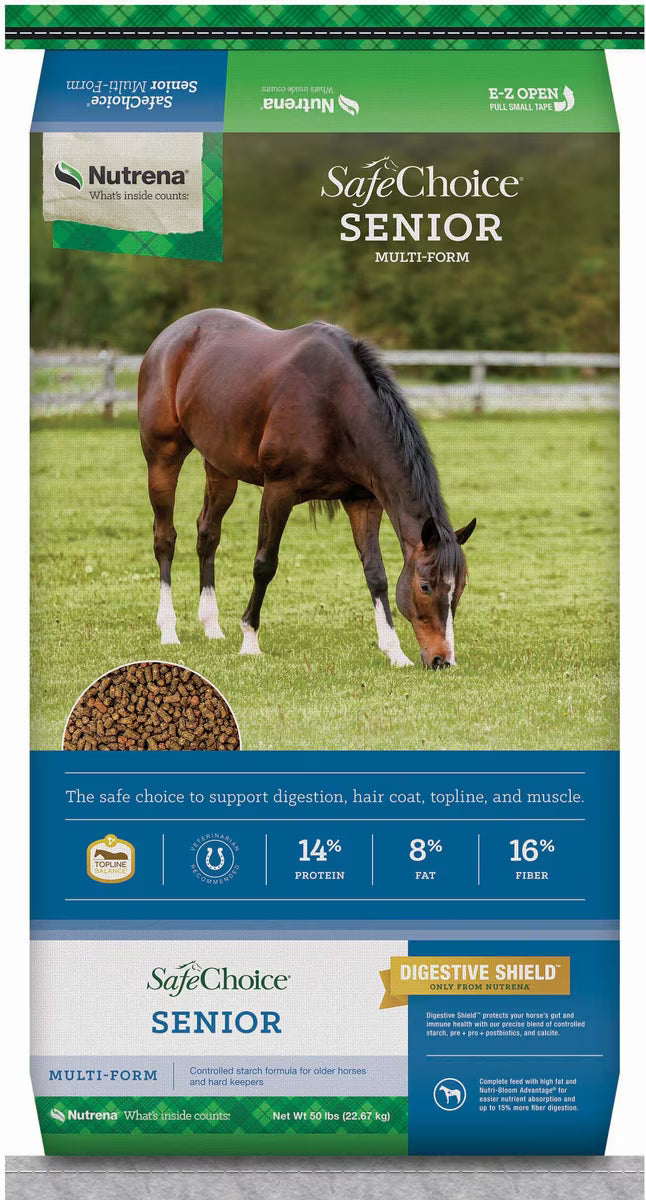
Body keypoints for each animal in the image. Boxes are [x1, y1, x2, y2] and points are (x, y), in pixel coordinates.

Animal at [137, 309, 476, 670]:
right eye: (425, 586)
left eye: (460, 587)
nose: (442, 659)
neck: (335, 406)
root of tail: (169, 337)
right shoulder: (278, 493)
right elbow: (264, 564)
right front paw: (250, 640)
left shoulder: (362, 501)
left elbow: (376, 574)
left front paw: (394, 652)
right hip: (163, 458)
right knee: (165, 538)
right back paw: (169, 630)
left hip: (220, 468)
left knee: (208, 534)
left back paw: (211, 626)